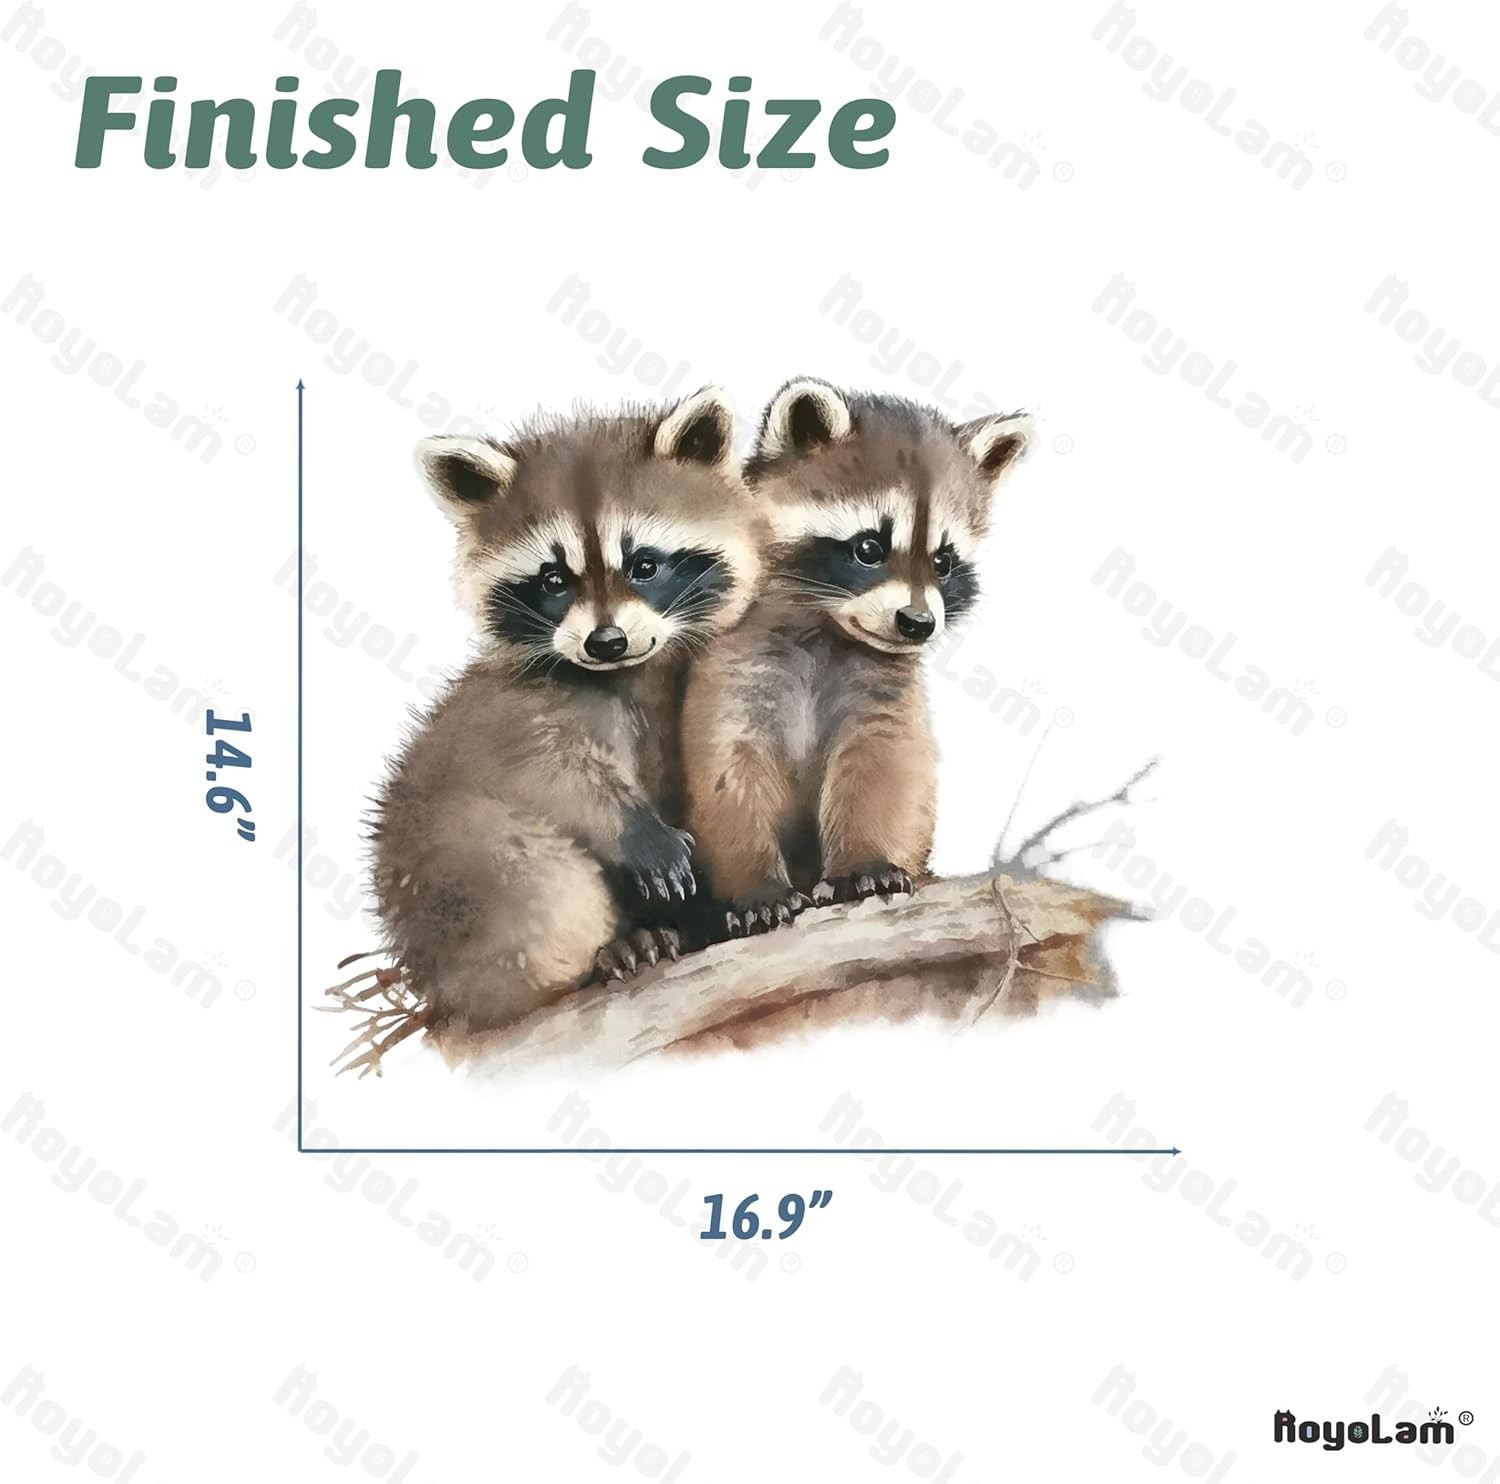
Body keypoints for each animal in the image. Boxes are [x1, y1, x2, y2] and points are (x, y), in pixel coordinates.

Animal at [370, 388, 762, 1033]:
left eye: (645, 565)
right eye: (553, 579)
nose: (606, 642)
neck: (623, 673)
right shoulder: (504, 716)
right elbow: (547, 774)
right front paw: (629, 827)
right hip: (457, 888)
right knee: (536, 881)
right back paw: (600, 955)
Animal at [682, 377, 1033, 934]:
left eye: (943, 561)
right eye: (869, 548)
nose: (918, 624)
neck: (824, 628)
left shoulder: (885, 689)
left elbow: (883, 764)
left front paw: (864, 862)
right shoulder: (732, 669)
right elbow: (727, 774)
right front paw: (755, 885)